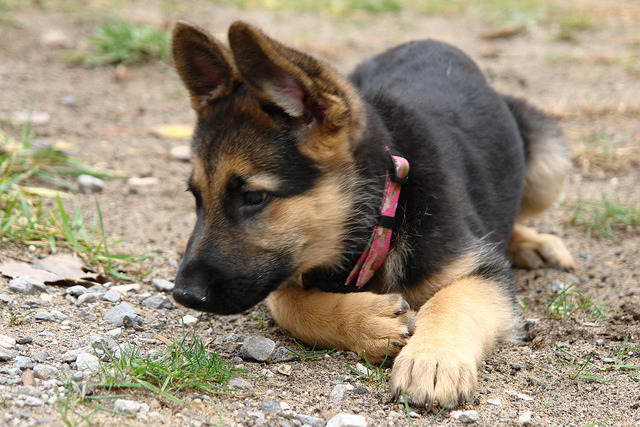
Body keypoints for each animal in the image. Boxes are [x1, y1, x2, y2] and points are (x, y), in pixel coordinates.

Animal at [170, 21, 576, 410]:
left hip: (549, 163)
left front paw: (432, 360)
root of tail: (429, 42)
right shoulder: (284, 271)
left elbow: (450, 303)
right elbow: (289, 304)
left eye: (254, 197)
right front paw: (371, 322)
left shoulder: (482, 273)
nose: (183, 295)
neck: (386, 214)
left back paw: (531, 243)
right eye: (196, 197)